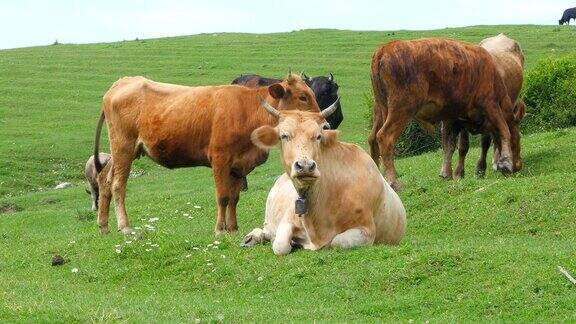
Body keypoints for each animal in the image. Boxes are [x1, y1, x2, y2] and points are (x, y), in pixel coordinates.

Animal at [93, 73, 338, 235]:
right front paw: (220, 230)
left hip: (124, 151)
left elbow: (234, 198)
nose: (325, 126)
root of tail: (122, 82)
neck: (247, 111)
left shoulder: (238, 165)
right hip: (123, 147)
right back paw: (124, 226)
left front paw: (233, 228)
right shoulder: (220, 159)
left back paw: (104, 226)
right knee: (118, 185)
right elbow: (223, 197)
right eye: (303, 97)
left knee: (105, 180)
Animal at [241, 100, 408, 254]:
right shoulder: (287, 218)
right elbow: (280, 245)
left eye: (318, 136)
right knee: (267, 230)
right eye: (284, 135)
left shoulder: (367, 230)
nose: (305, 166)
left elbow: (336, 242)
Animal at [368, 37, 520, 190]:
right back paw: (393, 182)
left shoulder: (453, 117)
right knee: (384, 137)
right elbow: (504, 131)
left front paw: (447, 174)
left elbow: (449, 144)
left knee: (372, 139)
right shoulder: (491, 104)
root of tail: (385, 48)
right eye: (518, 138)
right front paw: (506, 163)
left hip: (379, 109)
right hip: (402, 109)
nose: (519, 165)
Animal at [440, 33, 528, 180]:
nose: (518, 166)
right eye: (520, 136)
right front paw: (457, 173)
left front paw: (480, 169)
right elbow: (461, 146)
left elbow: (485, 142)